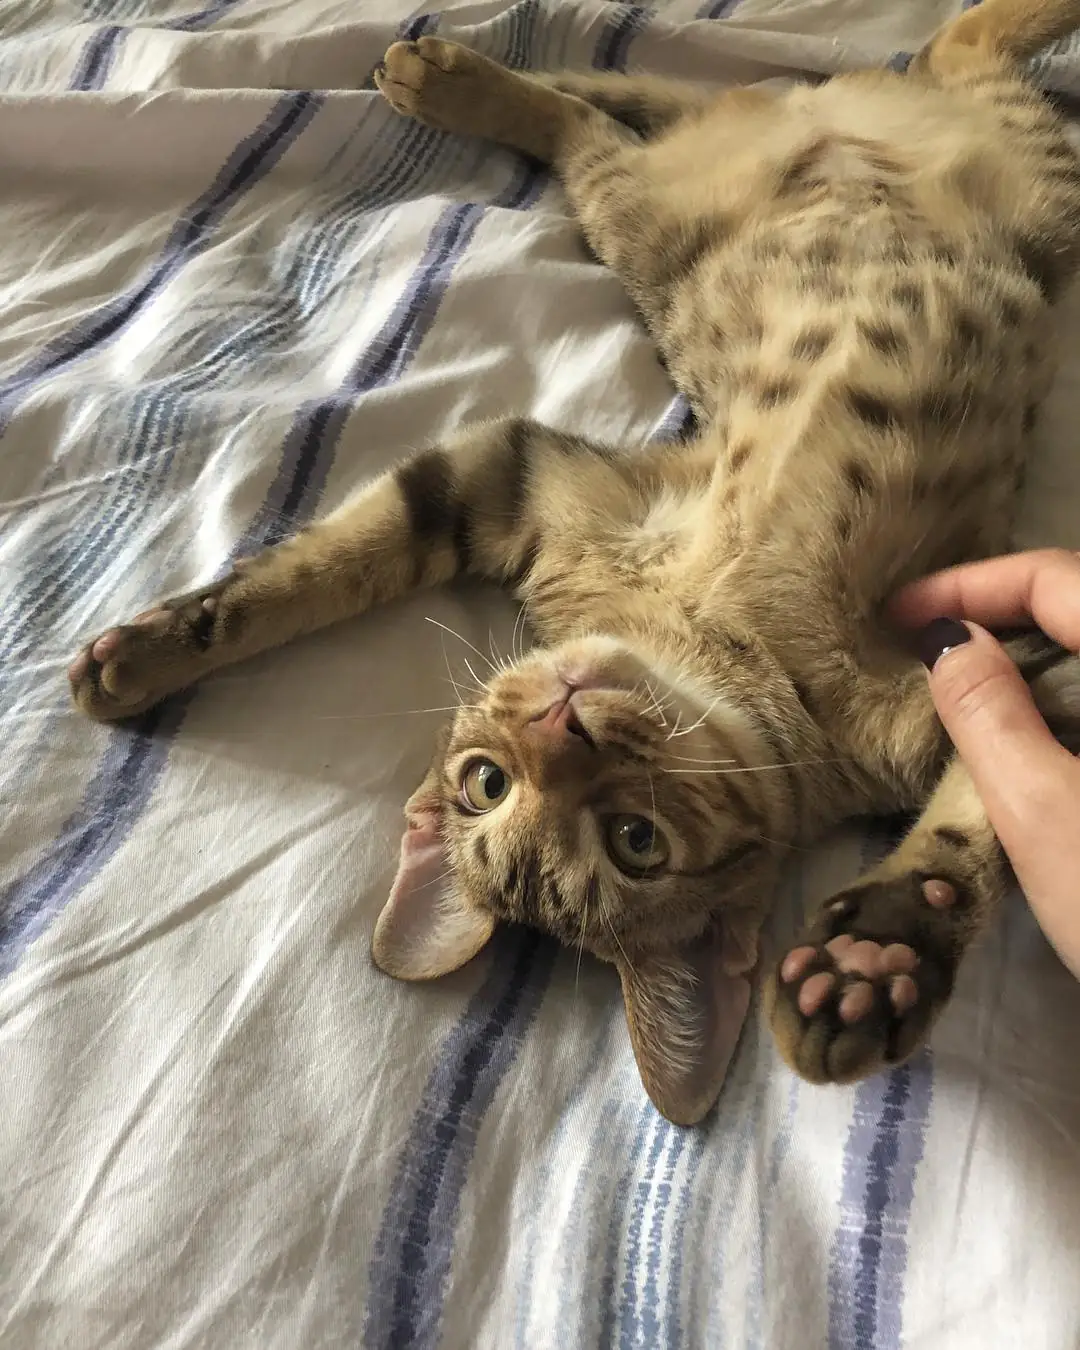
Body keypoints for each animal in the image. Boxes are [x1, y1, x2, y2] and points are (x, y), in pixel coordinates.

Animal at [69, 0, 1080, 1125]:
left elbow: (988, 826)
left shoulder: (529, 479)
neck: (709, 625)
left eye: (635, 839)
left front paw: (881, 952)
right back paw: (457, 70)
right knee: (681, 109)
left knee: (871, 57)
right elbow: (321, 571)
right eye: (492, 784)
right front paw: (155, 650)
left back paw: (446, 70)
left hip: (1002, 189)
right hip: (744, 191)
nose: (563, 722)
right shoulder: (523, 481)